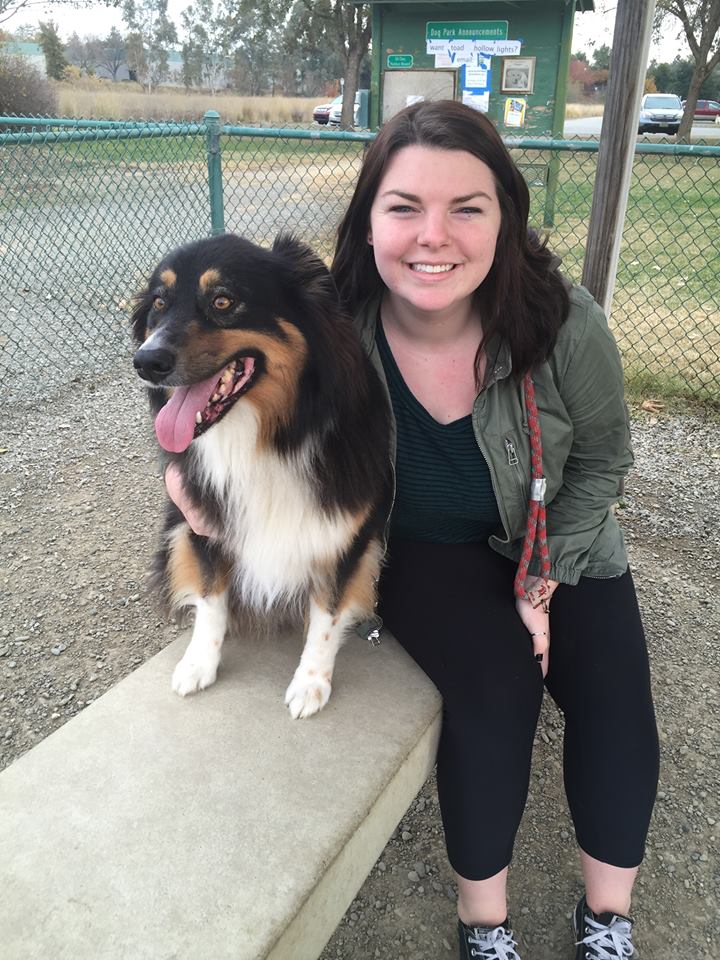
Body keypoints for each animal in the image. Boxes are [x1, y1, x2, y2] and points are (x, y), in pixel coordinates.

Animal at [131, 233, 392, 718]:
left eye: (223, 300)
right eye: (158, 303)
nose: (145, 361)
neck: (265, 439)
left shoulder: (346, 537)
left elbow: (326, 615)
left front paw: (311, 683)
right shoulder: (203, 521)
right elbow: (212, 597)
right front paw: (199, 663)